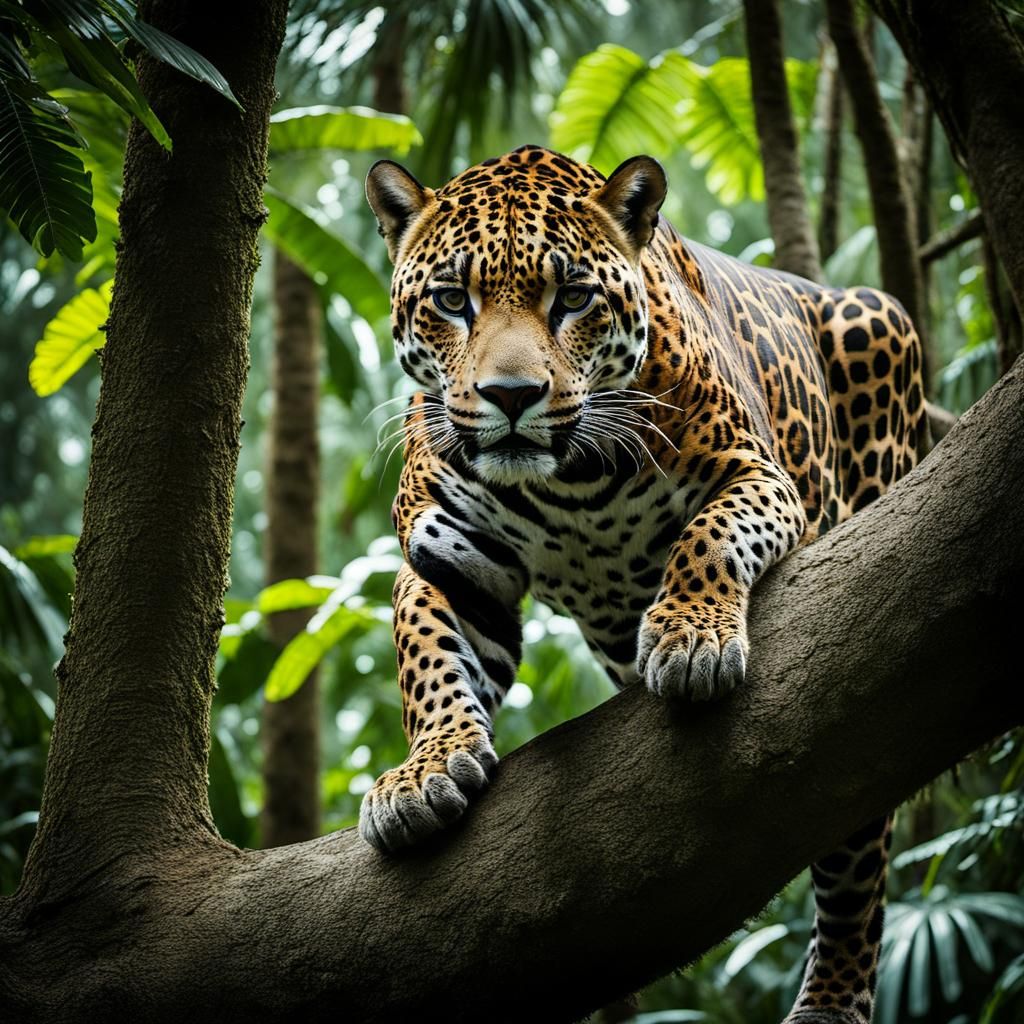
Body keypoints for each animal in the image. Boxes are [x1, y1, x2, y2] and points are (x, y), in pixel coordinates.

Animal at [360, 144, 928, 1024]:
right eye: (453, 301)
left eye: (572, 298)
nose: (511, 397)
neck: (569, 480)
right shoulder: (445, 556)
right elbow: (426, 656)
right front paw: (427, 768)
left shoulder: (756, 475)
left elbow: (708, 537)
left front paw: (691, 638)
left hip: (881, 342)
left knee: (856, 848)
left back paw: (833, 997)